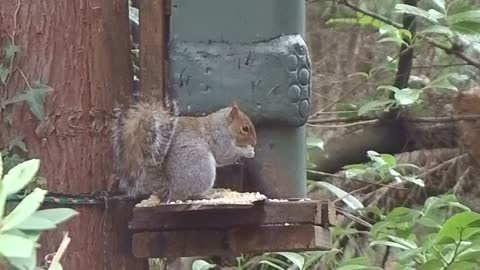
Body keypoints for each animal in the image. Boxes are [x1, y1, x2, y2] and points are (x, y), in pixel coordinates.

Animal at [112, 100, 256, 201]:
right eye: (245, 128)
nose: (255, 142)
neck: (223, 125)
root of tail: (173, 191)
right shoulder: (219, 138)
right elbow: (225, 154)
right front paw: (247, 151)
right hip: (201, 165)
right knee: (194, 194)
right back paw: (210, 196)